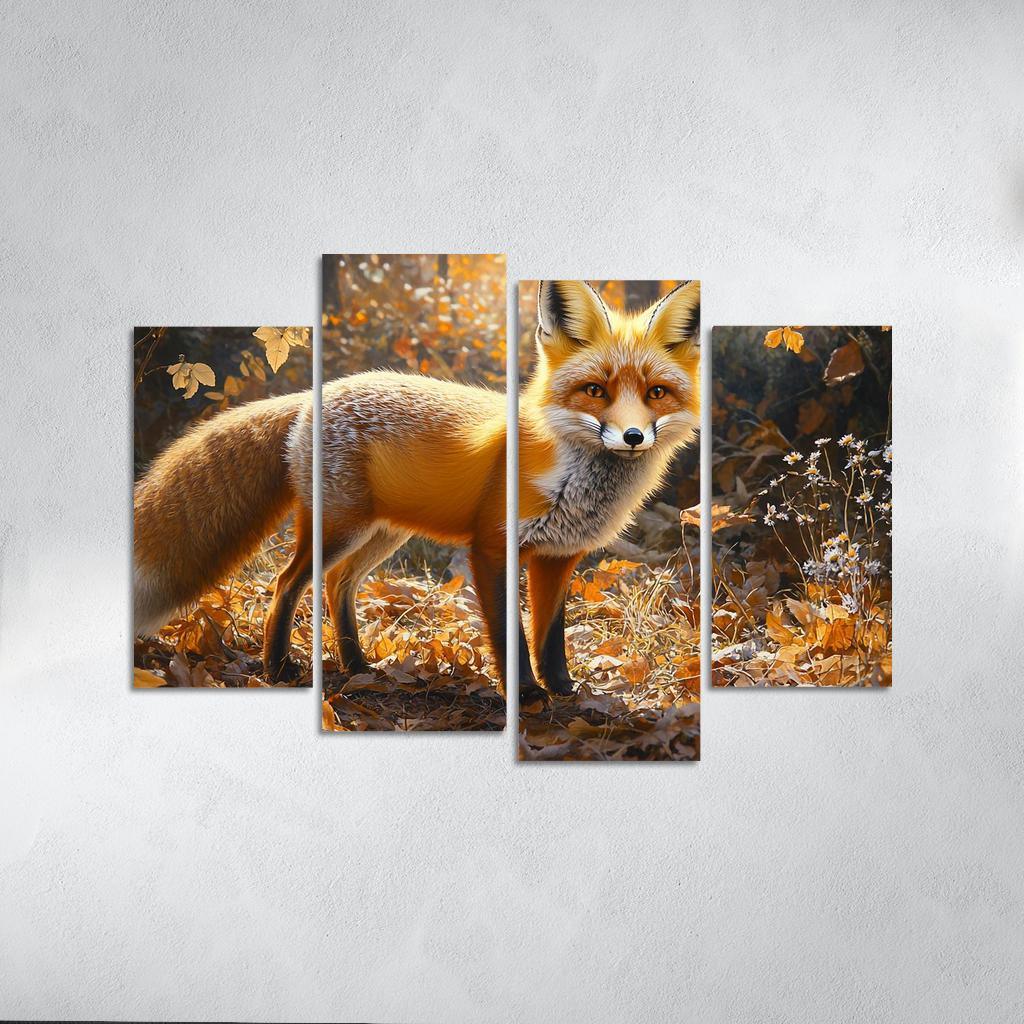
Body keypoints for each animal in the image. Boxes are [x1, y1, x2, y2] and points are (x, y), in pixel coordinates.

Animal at [133, 279, 699, 700]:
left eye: (656, 393)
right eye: (595, 391)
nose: (632, 437)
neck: (572, 480)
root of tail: (314, 394)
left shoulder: (558, 555)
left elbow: (550, 637)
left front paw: (562, 691)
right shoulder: (492, 547)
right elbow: (511, 636)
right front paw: (526, 696)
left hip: (382, 534)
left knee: (337, 583)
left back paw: (357, 664)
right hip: (341, 528)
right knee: (286, 583)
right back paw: (278, 669)